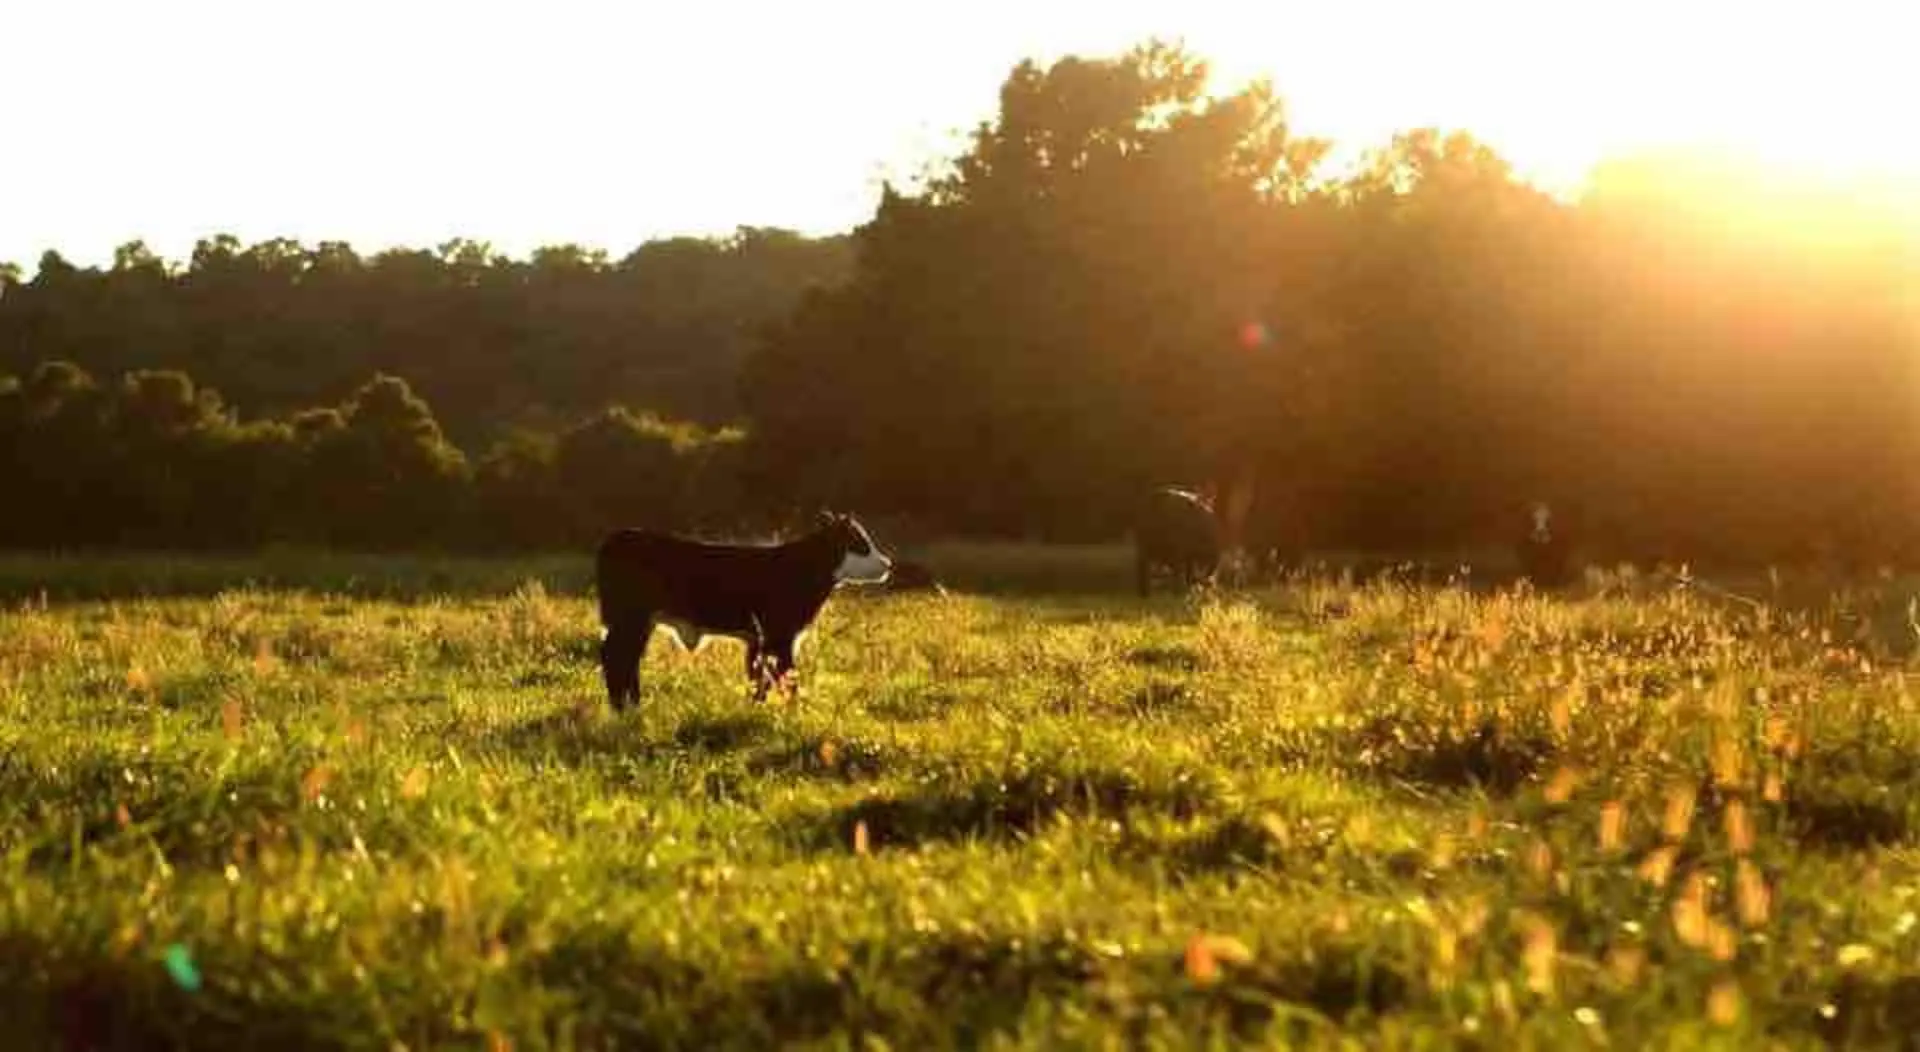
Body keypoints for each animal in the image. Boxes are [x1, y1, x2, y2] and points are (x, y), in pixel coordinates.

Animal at [594, 512, 893, 710]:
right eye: (860, 544)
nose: (888, 564)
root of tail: (618, 537)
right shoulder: (779, 635)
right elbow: (786, 675)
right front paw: (795, 709)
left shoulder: (758, 639)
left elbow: (758, 676)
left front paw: (755, 706)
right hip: (630, 618)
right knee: (617, 657)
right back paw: (625, 707)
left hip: (638, 622)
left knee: (626, 658)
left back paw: (630, 705)